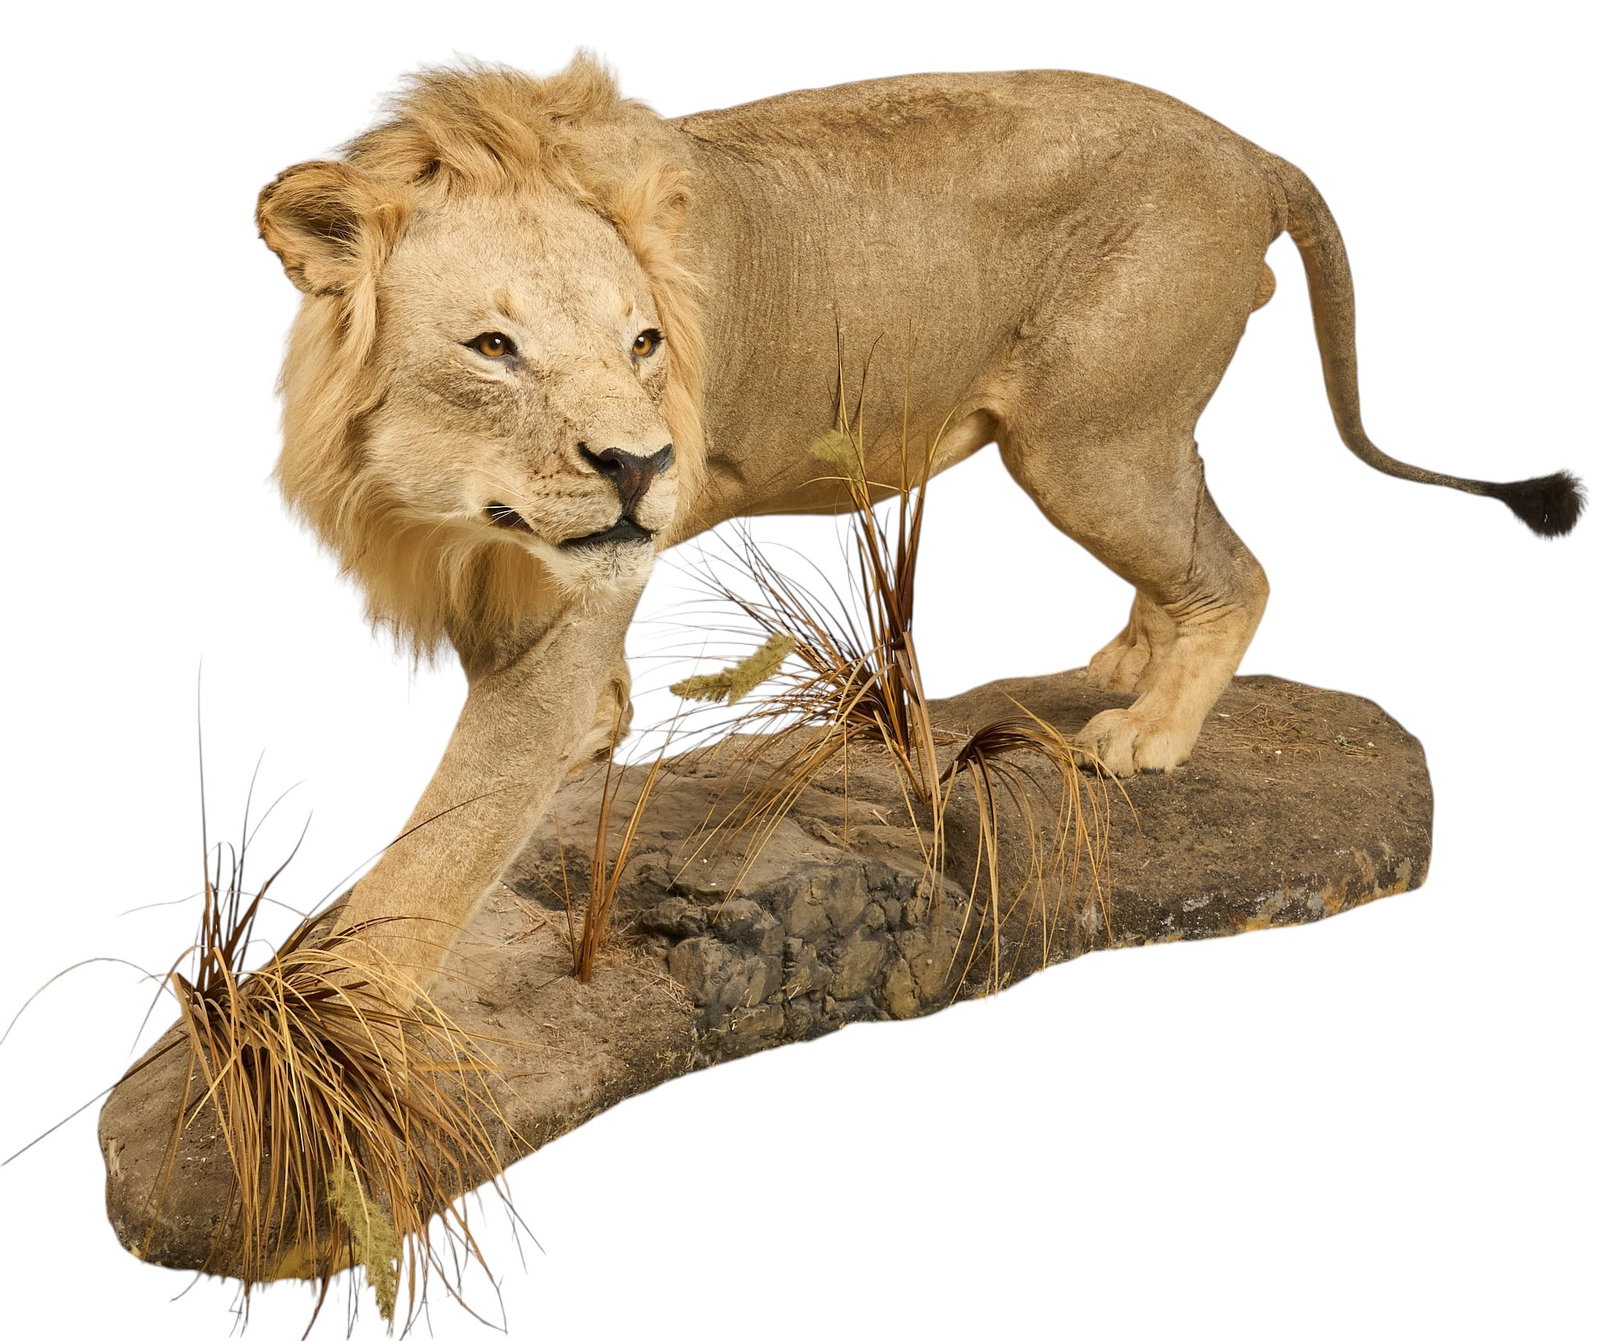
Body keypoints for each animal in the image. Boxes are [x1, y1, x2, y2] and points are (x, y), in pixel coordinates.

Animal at [256, 57, 1581, 996]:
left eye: (644, 343)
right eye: (492, 346)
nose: (642, 464)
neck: (438, 499)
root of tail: (1254, 150)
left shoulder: (571, 592)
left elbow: (449, 834)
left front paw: (329, 1031)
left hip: (1084, 440)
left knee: (1235, 572)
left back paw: (1145, 733)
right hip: (1130, 428)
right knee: (1197, 525)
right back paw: (1130, 658)